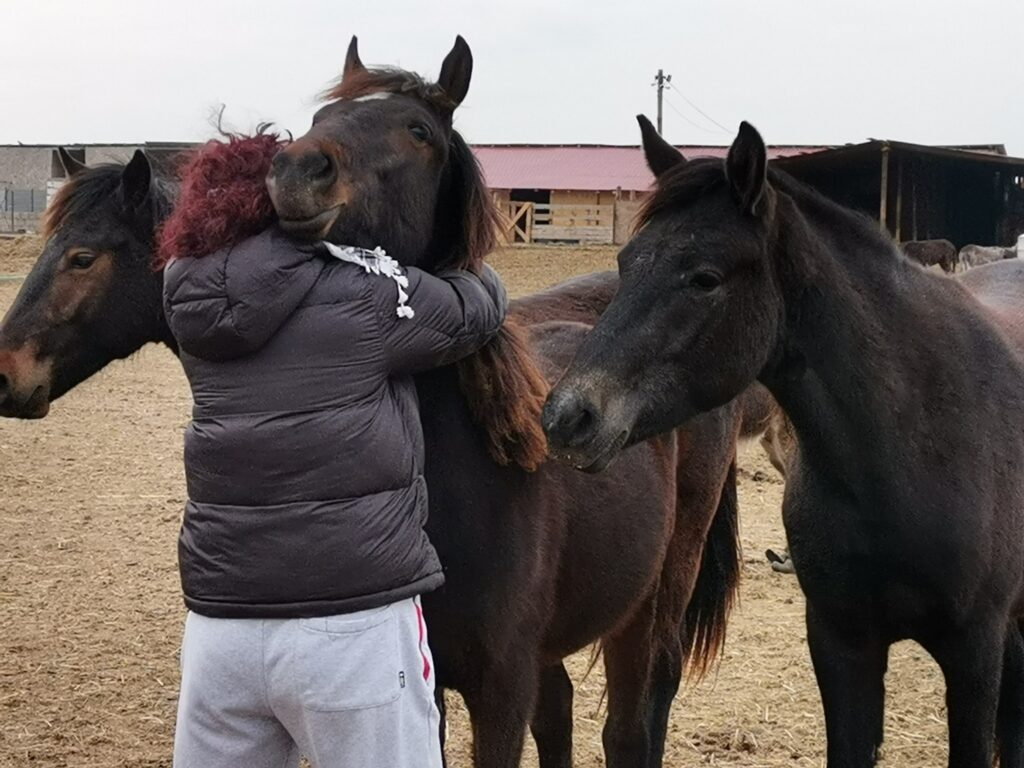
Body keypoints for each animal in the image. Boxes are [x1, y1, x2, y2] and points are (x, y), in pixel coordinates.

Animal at [0, 42, 746, 768]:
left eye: (83, 258)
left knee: (634, 720)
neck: (476, 470)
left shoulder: (500, 687)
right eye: (319, 119)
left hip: (652, 601)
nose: (296, 171)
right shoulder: (438, 681)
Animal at [543, 115, 1024, 767]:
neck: (917, 446)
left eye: (705, 278)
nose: (568, 417)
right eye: (625, 262)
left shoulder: (974, 653)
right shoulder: (842, 644)